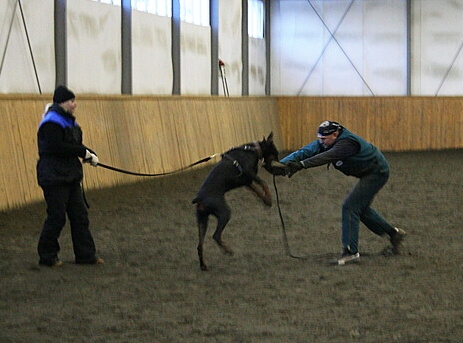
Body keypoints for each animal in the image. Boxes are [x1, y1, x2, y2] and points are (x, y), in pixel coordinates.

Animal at [192, 133, 280, 270]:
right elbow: (263, 183)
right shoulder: (249, 173)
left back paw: (203, 265)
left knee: (199, 245)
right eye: (276, 153)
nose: (278, 163)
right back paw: (228, 250)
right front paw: (269, 198)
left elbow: (256, 190)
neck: (252, 150)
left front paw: (266, 201)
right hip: (224, 212)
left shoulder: (246, 181)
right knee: (216, 235)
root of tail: (200, 199)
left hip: (202, 219)